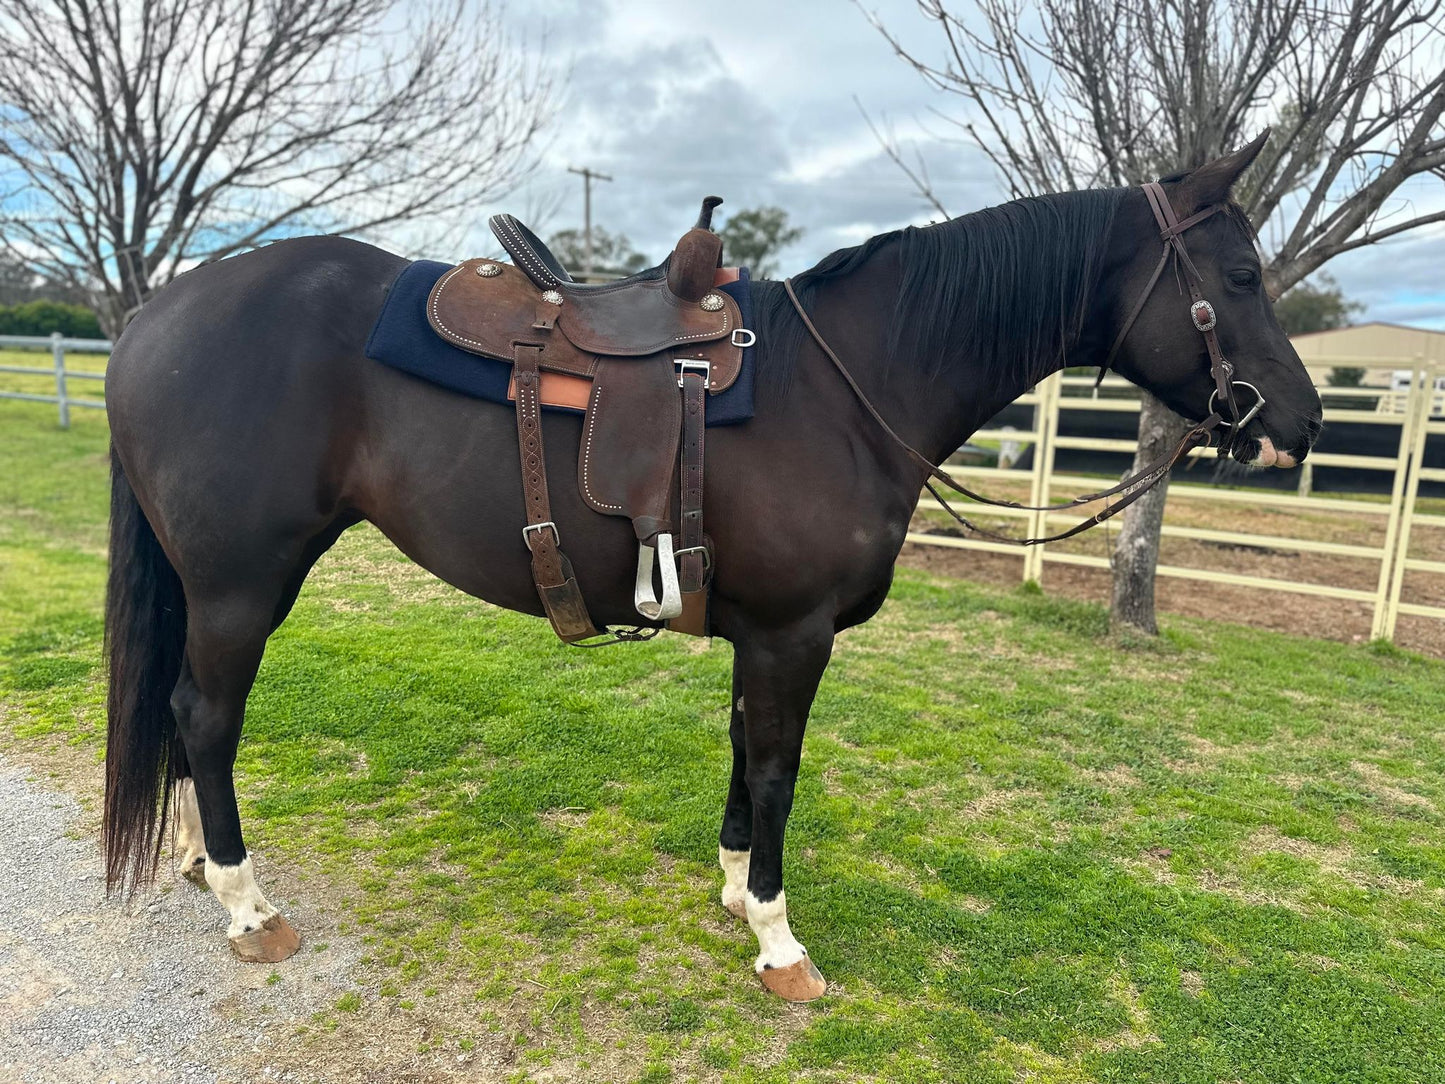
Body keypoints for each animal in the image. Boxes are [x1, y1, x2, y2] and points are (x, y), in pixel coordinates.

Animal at [98, 133, 1323, 1000]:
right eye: (1240, 272)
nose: (1299, 423)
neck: (845, 385)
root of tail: (154, 312)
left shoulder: (761, 634)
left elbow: (743, 755)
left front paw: (736, 892)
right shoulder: (793, 633)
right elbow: (779, 770)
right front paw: (780, 942)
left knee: (185, 716)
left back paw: (200, 866)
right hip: (241, 585)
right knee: (205, 716)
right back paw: (248, 905)